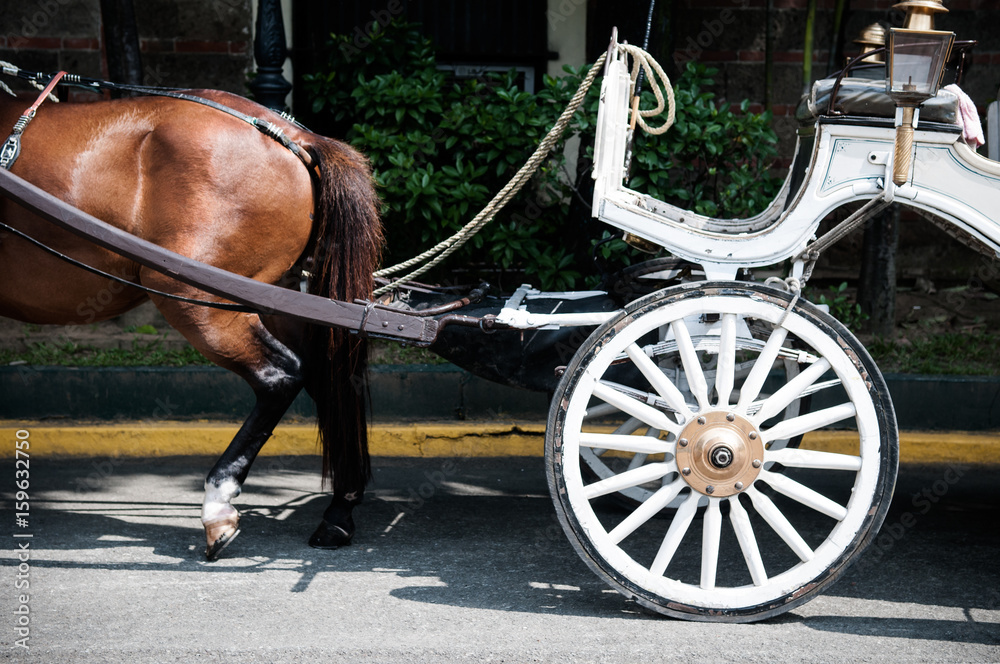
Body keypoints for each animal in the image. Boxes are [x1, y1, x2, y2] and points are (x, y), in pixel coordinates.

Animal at [0, 87, 383, 559]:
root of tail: (295, 136)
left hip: (197, 297)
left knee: (280, 376)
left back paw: (218, 503)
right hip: (276, 299)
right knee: (327, 381)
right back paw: (339, 512)